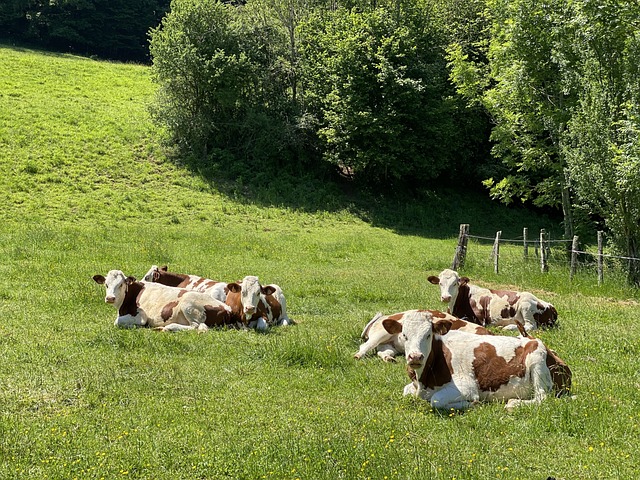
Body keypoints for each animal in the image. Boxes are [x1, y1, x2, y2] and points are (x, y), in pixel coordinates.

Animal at [94, 268, 234, 332]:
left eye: (121, 284)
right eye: (106, 284)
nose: (110, 298)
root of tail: (227, 308)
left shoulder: (141, 315)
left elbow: (117, 322)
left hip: (188, 304)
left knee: (198, 326)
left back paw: (169, 327)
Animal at [356, 310, 490, 362]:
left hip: (388, 345)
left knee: (383, 352)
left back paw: (389, 358)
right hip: (380, 334)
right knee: (365, 346)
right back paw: (358, 355)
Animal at [380, 312, 576, 408]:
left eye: (428, 334)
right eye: (404, 335)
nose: (415, 357)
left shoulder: (467, 387)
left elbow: (436, 400)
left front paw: (470, 404)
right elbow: (406, 391)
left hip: (537, 359)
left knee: (542, 398)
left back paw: (513, 404)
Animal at [428, 268, 556, 332]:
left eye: (455, 283)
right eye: (440, 283)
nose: (446, 297)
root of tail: (551, 306)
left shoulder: (478, 319)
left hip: (526, 305)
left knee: (531, 326)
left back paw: (508, 328)